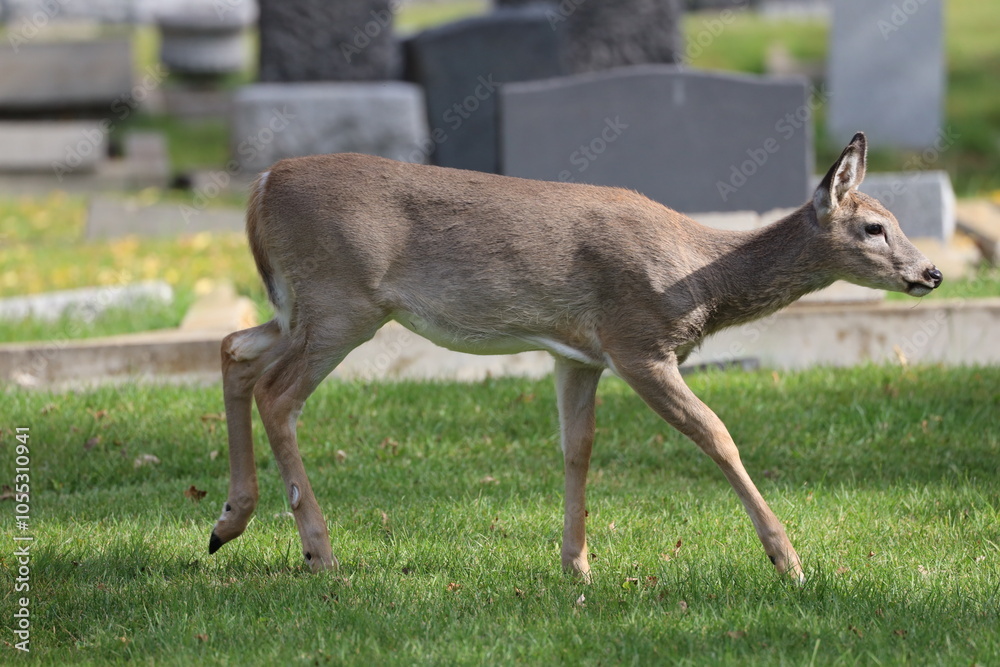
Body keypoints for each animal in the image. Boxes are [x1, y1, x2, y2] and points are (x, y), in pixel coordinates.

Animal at [208, 132, 941, 582]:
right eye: (873, 226)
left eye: (899, 221)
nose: (931, 272)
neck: (698, 277)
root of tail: (260, 186)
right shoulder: (637, 341)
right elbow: (716, 433)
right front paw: (788, 559)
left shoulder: (579, 353)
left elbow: (576, 447)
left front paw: (576, 563)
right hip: (343, 301)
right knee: (278, 393)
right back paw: (318, 550)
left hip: (301, 306)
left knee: (234, 350)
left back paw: (227, 522)